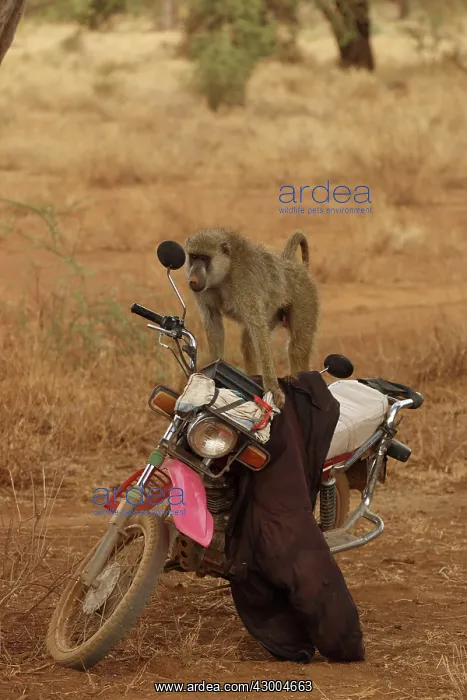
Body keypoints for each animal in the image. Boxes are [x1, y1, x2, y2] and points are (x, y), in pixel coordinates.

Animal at [184, 228, 319, 409]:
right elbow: (214, 323)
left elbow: (257, 326)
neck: (225, 272)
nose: (193, 279)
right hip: (273, 312)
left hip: (305, 297)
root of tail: (292, 265)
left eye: (204, 258)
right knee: (249, 343)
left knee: (297, 348)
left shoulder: (244, 283)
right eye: (193, 256)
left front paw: (273, 390)